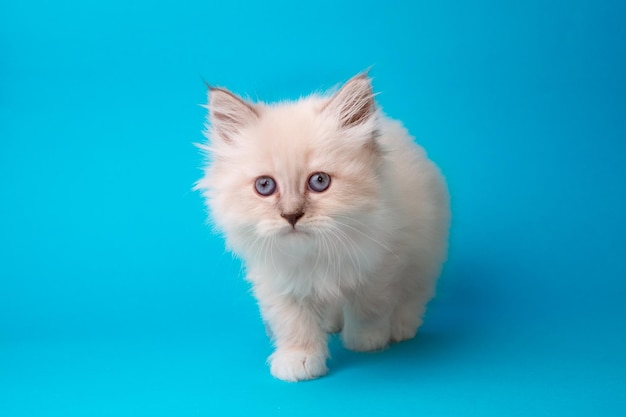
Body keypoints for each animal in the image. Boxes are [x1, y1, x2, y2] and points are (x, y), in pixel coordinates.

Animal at [195, 72, 448, 380]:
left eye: (319, 182)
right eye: (265, 186)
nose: (292, 215)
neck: (314, 255)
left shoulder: (380, 266)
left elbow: (369, 308)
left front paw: (366, 341)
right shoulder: (278, 281)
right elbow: (294, 324)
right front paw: (299, 361)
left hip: (425, 252)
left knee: (414, 295)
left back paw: (401, 327)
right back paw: (330, 324)